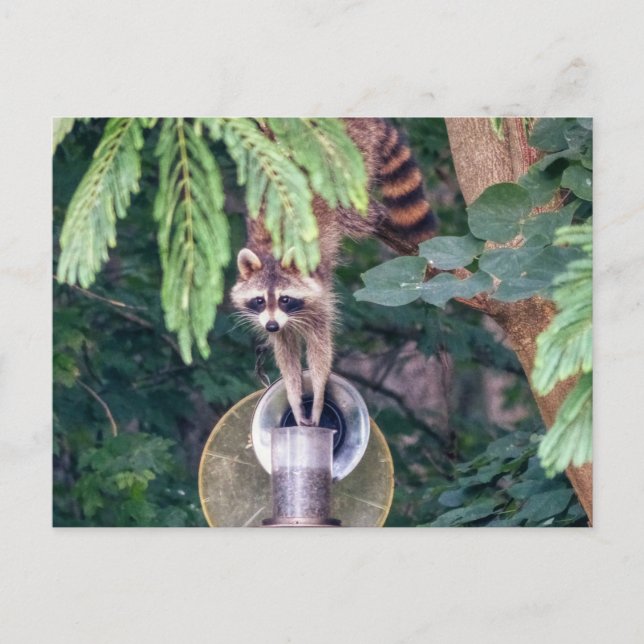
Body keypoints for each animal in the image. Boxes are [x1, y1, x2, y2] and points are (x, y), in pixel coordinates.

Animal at [231, 118, 437, 426]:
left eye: (285, 299)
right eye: (259, 300)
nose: (271, 326)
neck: (272, 257)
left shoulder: (319, 290)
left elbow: (320, 343)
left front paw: (317, 395)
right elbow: (286, 349)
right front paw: (293, 394)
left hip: (352, 157)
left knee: (354, 211)